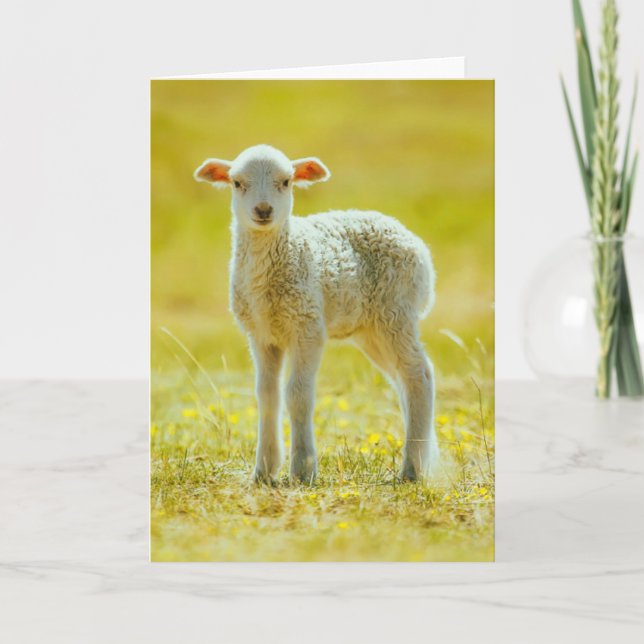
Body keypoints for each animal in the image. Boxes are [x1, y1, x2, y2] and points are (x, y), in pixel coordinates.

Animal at [194, 144, 439, 484]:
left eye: (286, 182)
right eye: (237, 183)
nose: (263, 210)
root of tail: (412, 239)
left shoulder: (307, 326)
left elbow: (297, 395)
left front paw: (302, 470)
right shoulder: (261, 334)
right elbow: (266, 396)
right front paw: (264, 470)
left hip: (396, 312)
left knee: (419, 375)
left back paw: (412, 470)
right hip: (371, 329)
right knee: (402, 379)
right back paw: (422, 457)